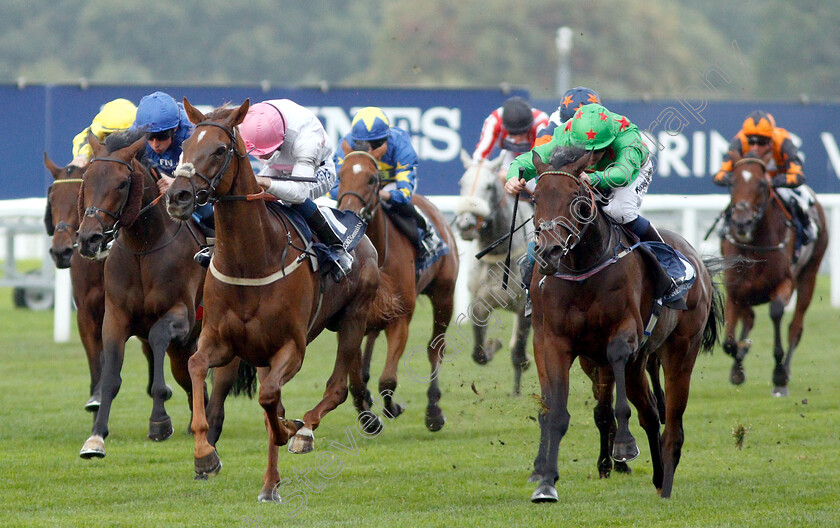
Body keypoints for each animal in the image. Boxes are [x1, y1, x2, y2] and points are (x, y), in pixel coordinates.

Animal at [163, 100, 384, 504]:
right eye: (185, 147)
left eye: (220, 150)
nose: (178, 197)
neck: (250, 258)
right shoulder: (221, 342)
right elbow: (196, 366)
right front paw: (204, 456)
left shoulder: (291, 347)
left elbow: (269, 401)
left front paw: (291, 429)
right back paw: (270, 482)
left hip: (353, 318)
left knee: (336, 387)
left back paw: (303, 433)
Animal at [334, 142, 460, 432]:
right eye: (340, 175)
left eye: (372, 178)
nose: (349, 215)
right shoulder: (350, 318)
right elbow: (355, 381)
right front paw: (368, 417)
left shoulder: (401, 316)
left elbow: (388, 379)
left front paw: (393, 406)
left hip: (444, 295)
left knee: (435, 349)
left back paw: (434, 411)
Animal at [528, 146, 720, 502]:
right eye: (535, 197)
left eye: (576, 197)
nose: (549, 252)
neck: (583, 269)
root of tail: (697, 261)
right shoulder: (554, 341)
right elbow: (557, 412)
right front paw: (546, 483)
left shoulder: (624, 334)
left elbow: (618, 367)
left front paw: (625, 447)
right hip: (630, 364)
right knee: (649, 413)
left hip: (680, 349)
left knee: (668, 419)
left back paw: (664, 479)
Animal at [720, 151, 832, 394]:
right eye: (731, 183)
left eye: (762, 184)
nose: (741, 223)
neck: (754, 247)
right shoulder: (735, 290)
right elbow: (729, 342)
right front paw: (739, 360)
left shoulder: (785, 282)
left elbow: (776, 312)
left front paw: (779, 373)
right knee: (749, 319)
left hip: (809, 274)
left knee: (795, 327)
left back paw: (784, 375)